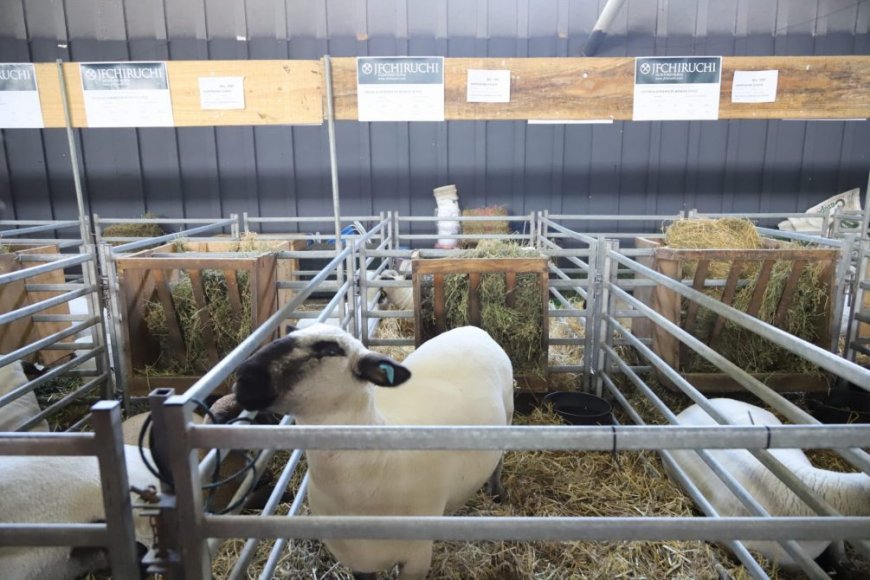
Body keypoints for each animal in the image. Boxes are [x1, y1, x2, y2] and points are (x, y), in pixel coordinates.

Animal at [233, 324, 516, 580]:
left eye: (331, 350)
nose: (243, 377)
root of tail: (473, 328)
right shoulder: (356, 559)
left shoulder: (417, 558)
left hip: (509, 414)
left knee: (499, 461)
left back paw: (496, 493)